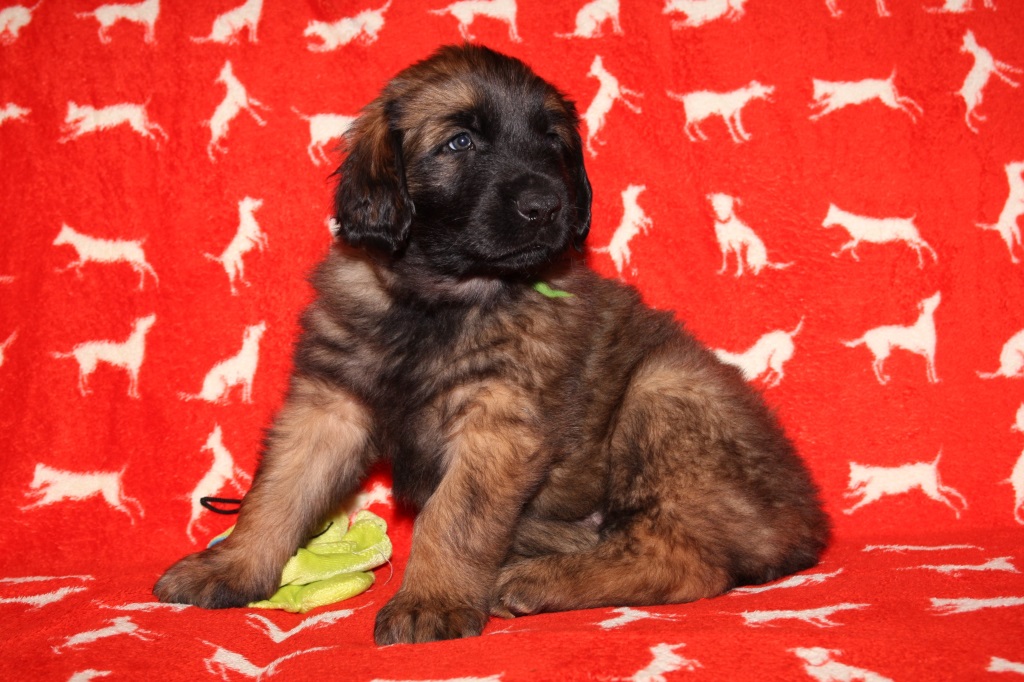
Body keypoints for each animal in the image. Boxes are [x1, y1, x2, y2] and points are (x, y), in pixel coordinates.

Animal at [153, 43, 831, 643]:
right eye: (460, 142)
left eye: (553, 142)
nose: (546, 205)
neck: (441, 299)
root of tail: (806, 525)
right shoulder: (329, 404)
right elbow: (277, 491)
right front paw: (230, 567)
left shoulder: (498, 423)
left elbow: (452, 518)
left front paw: (430, 602)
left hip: (664, 392)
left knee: (686, 561)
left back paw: (537, 580)